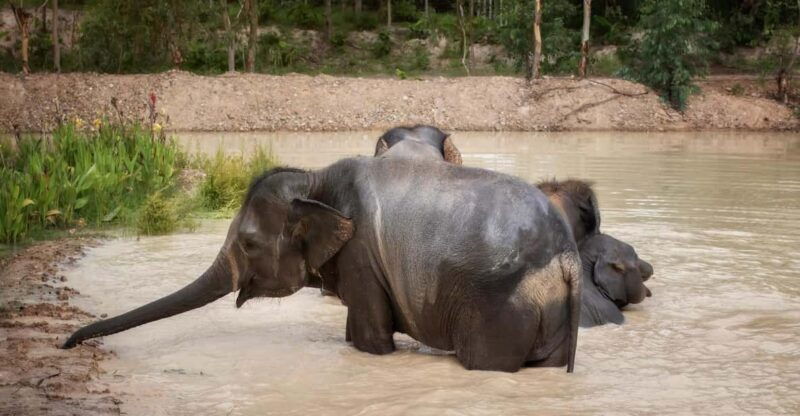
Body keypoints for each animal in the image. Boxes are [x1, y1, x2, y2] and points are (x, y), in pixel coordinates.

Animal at [63, 157, 582, 373]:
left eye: (248, 243)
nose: (67, 342)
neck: (315, 179)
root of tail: (568, 255)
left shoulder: (362, 257)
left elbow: (372, 340)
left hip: (499, 307)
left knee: (486, 363)